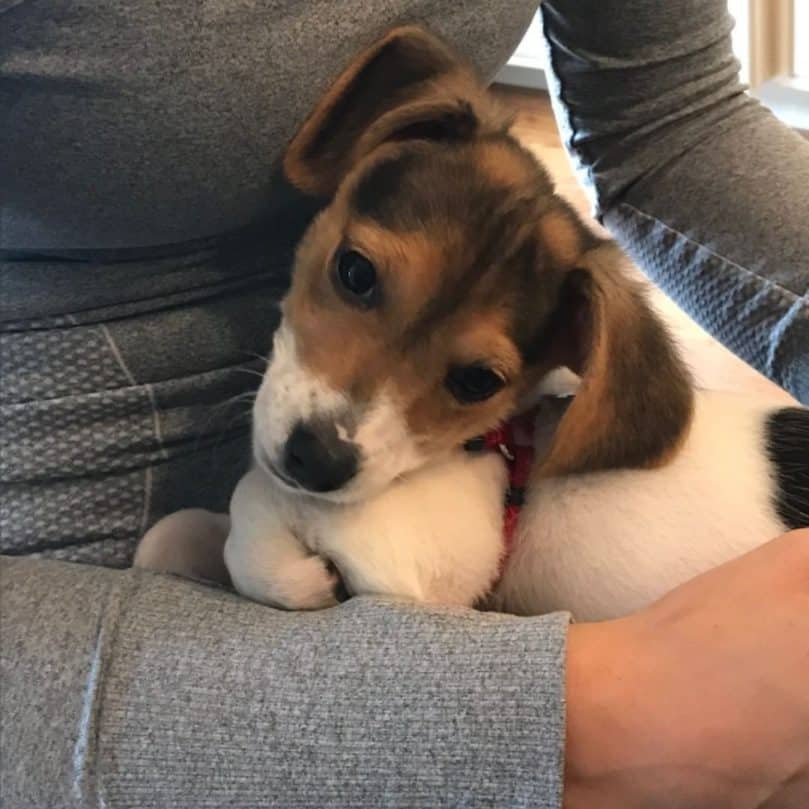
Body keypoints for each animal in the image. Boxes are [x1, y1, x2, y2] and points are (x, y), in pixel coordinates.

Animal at [134, 25, 808, 620]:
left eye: (478, 382)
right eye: (354, 272)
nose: (317, 461)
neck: (499, 455)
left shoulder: (393, 549)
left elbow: (250, 503)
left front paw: (292, 575)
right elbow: (178, 529)